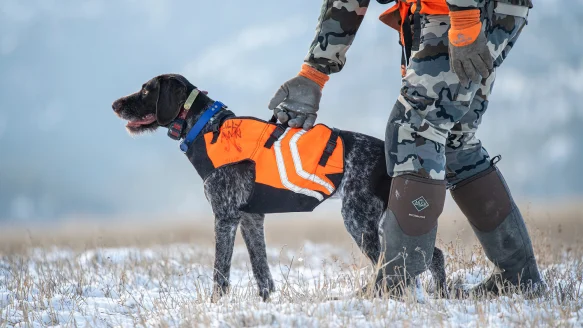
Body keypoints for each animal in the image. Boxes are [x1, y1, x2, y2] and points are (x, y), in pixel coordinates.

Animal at [112, 73, 444, 300]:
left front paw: (215, 303)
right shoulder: (250, 217)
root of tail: (389, 158)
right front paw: (266, 301)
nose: (114, 104)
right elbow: (260, 267)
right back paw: (440, 294)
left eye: (146, 90)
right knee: (431, 254)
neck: (205, 127)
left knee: (394, 262)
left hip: (358, 219)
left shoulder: (225, 216)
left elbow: (221, 269)